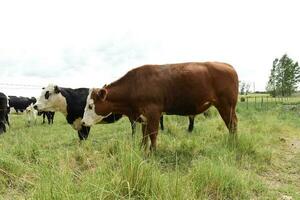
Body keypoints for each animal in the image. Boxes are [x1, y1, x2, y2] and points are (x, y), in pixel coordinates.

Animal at [81, 62, 239, 150]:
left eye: (90, 105)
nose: (82, 122)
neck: (134, 85)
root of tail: (227, 65)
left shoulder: (153, 113)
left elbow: (153, 134)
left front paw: (153, 152)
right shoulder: (143, 117)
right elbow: (144, 136)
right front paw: (142, 150)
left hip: (226, 106)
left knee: (232, 124)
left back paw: (232, 143)